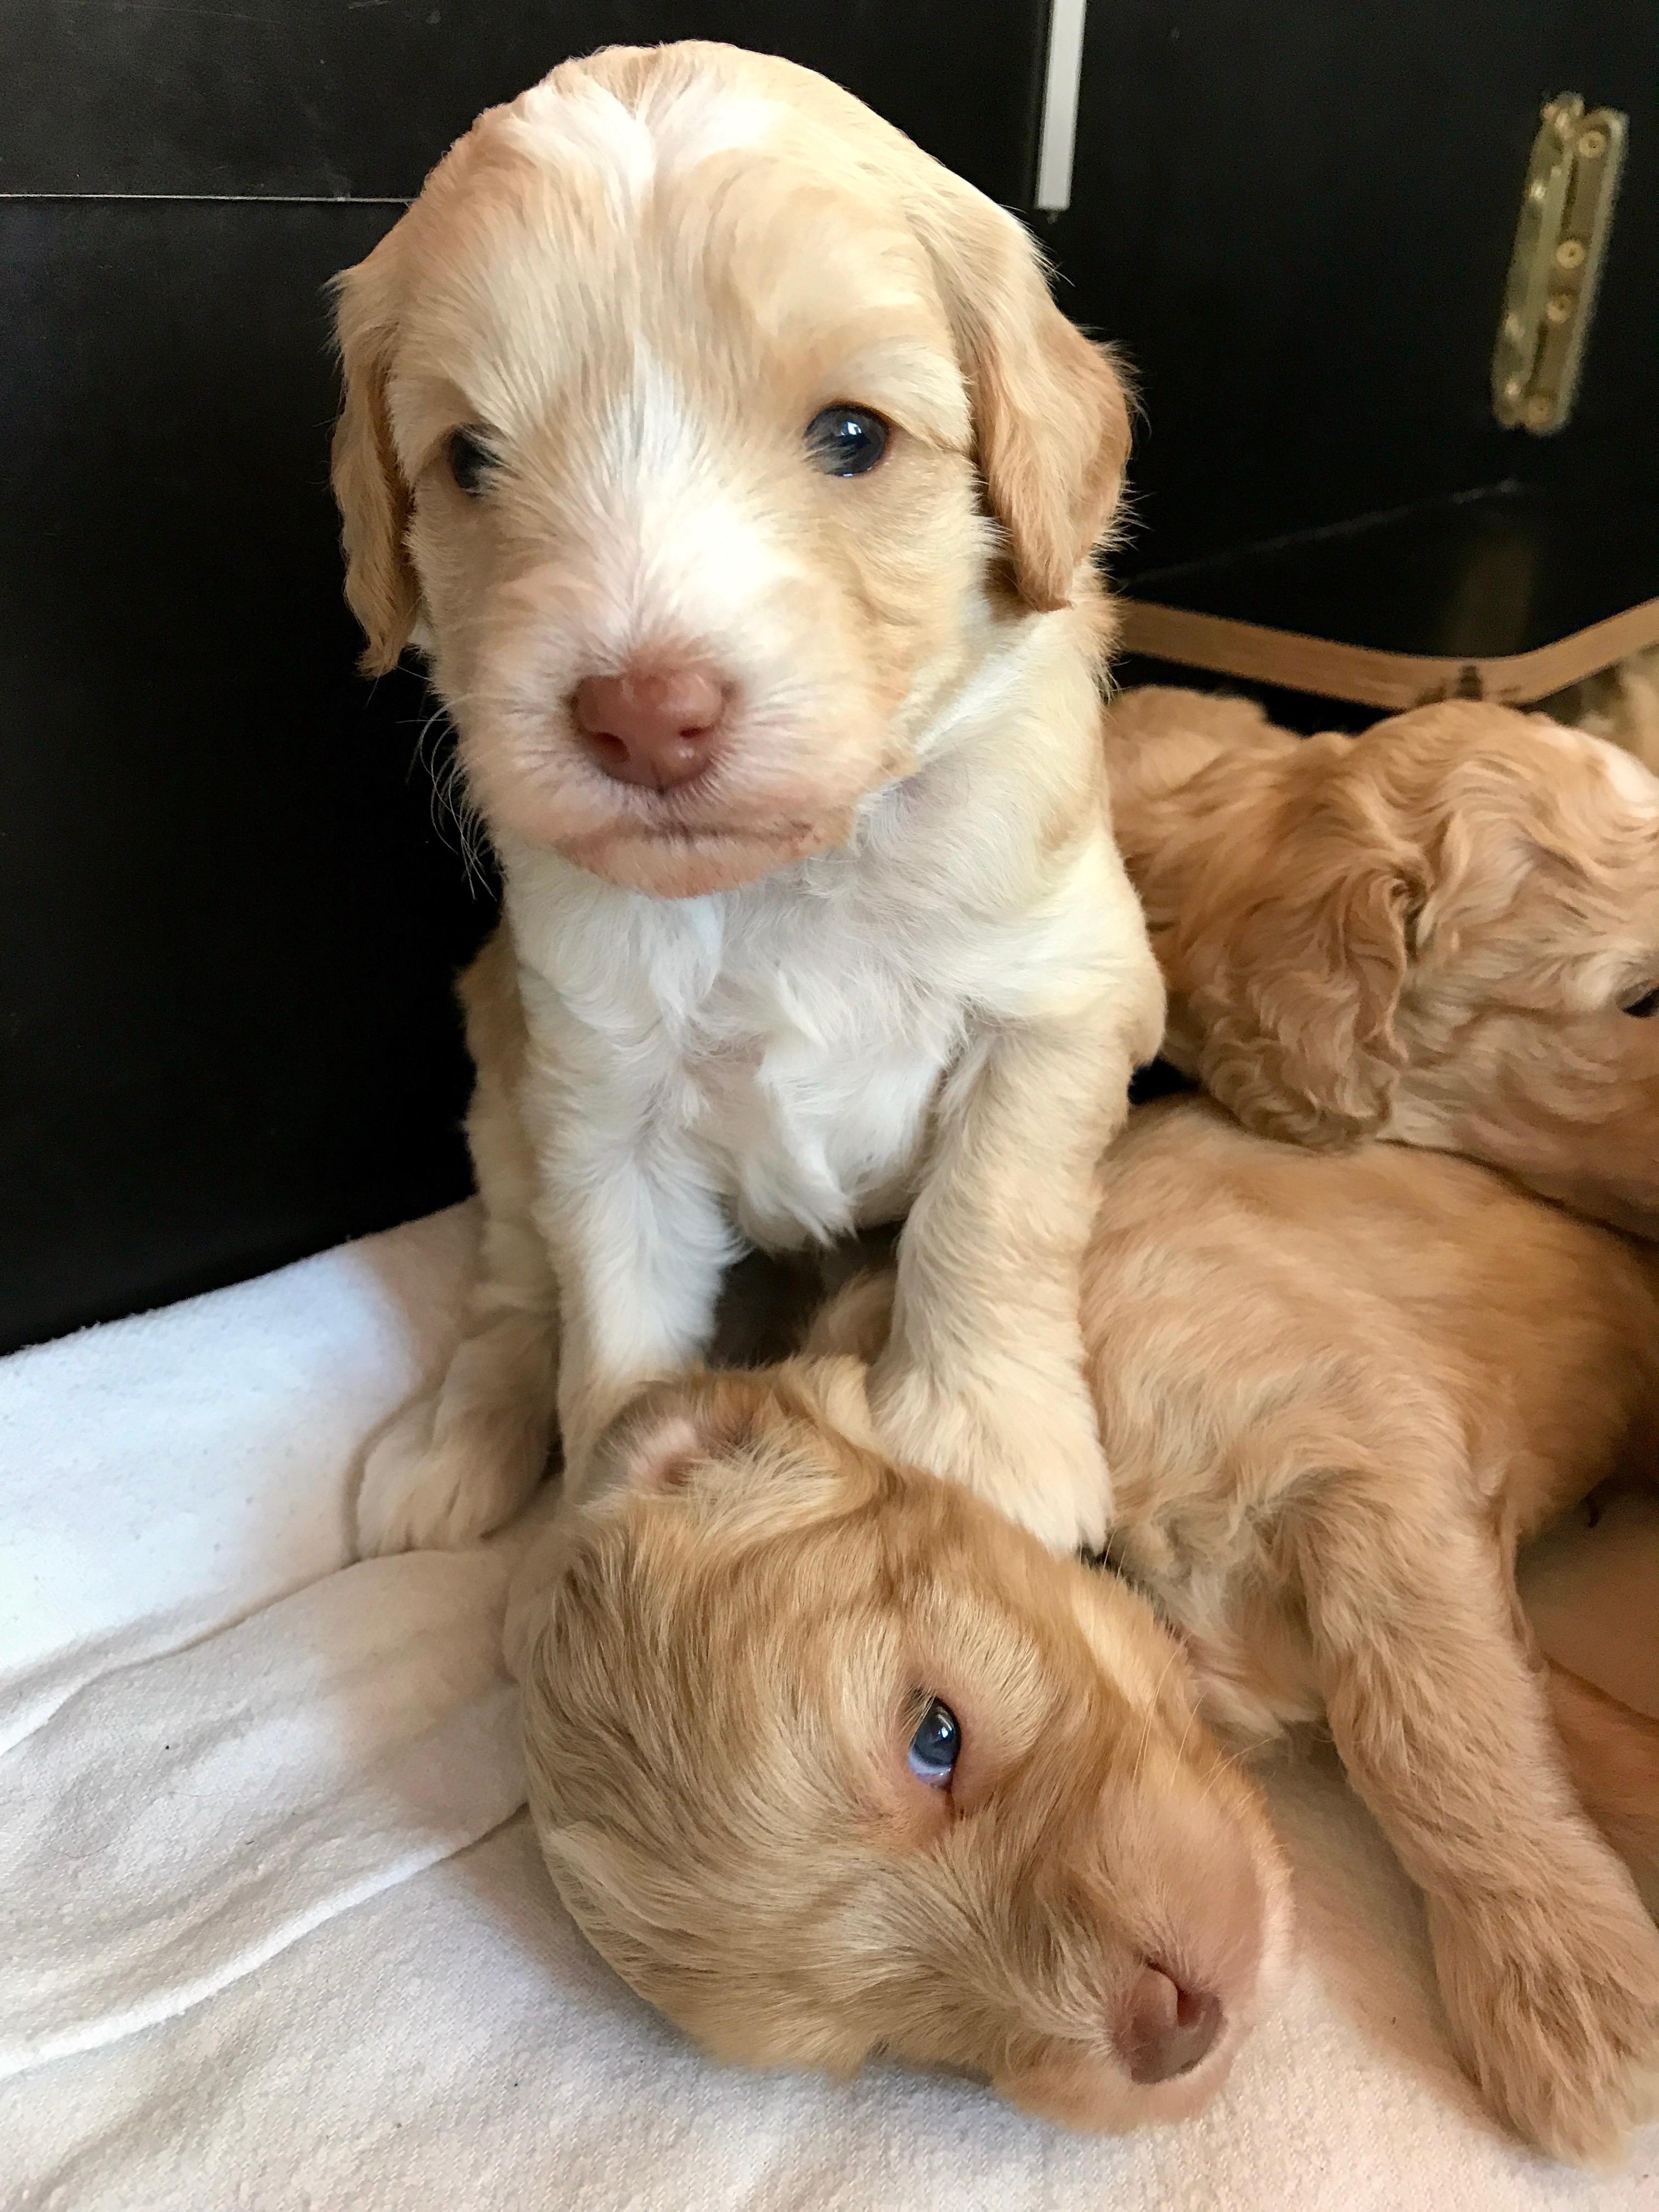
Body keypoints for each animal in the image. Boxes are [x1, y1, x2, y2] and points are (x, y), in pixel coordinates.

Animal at [331, 41, 1163, 1557]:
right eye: (471, 460)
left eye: (853, 436)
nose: (642, 715)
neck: (790, 876)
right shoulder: (597, 1097)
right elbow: (609, 1331)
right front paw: (600, 1538)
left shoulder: (1062, 1001)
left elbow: (992, 1213)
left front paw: (986, 1447)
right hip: (504, 1097)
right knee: (513, 1289)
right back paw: (451, 1448)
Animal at [510, 1097, 1659, 2165]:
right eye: (889, 2042)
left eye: (936, 1735)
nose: (1167, 2036)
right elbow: (1545, 1721)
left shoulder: (1351, 1451)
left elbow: (1432, 1730)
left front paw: (1569, 1999)